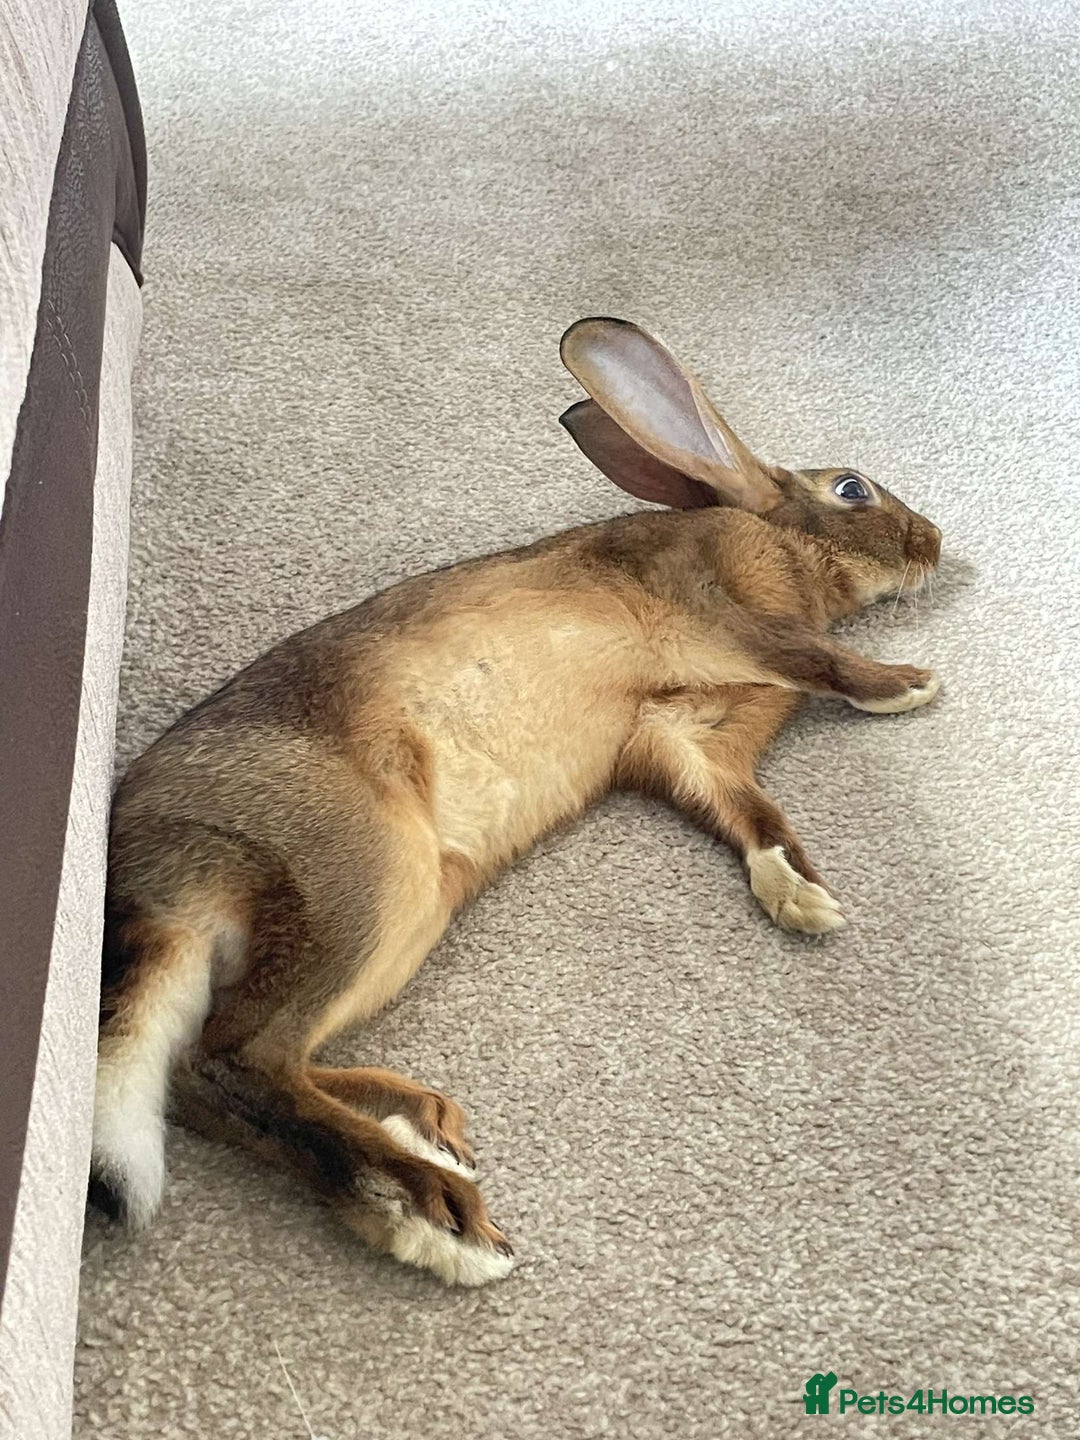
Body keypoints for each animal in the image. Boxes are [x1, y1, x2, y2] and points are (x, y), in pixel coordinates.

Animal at [91, 317, 942, 1286]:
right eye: (852, 489)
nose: (934, 542)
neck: (775, 539)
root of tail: (159, 886)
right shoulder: (722, 617)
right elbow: (815, 660)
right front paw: (907, 685)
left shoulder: (678, 740)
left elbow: (745, 811)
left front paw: (800, 893)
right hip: (361, 872)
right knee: (234, 1059)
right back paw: (431, 1214)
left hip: (409, 912)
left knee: (234, 1064)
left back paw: (421, 1123)